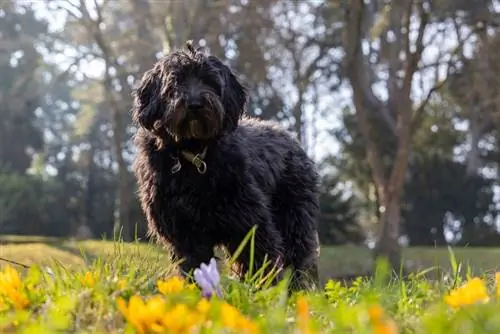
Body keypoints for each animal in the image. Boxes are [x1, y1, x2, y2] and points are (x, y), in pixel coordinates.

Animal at [132, 41, 320, 290]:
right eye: (176, 81)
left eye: (210, 81)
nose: (195, 104)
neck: (194, 156)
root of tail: (290, 139)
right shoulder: (184, 234)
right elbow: (194, 265)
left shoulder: (249, 223)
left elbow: (261, 258)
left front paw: (265, 292)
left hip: (294, 220)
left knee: (296, 258)